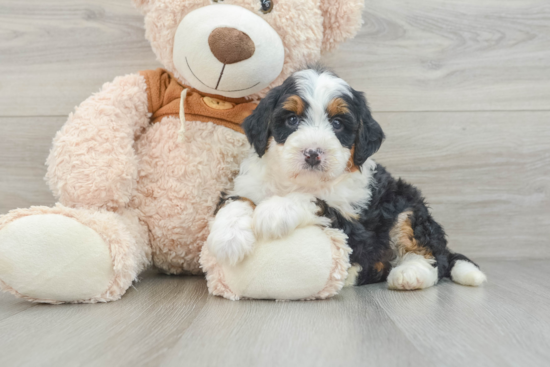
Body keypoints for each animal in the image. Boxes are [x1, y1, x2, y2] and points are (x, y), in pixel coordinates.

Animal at [208, 67, 488, 290]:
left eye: (337, 124)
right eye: (292, 119)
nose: (313, 153)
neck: (299, 181)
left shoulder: (356, 226)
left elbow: (315, 201)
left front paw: (275, 210)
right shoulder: (248, 184)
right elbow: (236, 200)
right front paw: (228, 238)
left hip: (407, 206)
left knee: (431, 255)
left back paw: (409, 275)